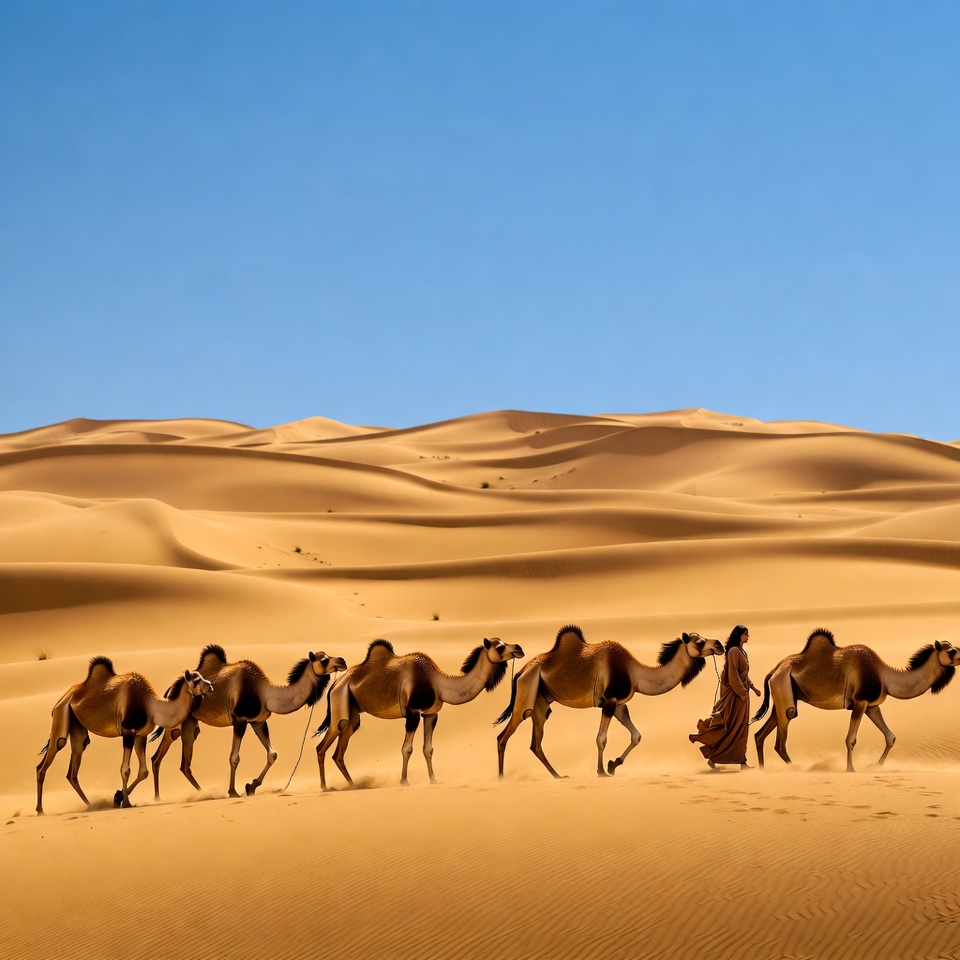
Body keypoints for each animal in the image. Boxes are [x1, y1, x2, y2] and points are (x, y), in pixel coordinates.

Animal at [36, 656, 214, 815]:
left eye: (202, 677)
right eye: (196, 680)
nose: (211, 686)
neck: (151, 706)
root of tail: (61, 699)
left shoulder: (140, 735)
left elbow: (143, 771)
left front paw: (118, 797)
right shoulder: (128, 731)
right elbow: (125, 769)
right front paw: (126, 802)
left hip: (77, 727)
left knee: (73, 768)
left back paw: (90, 804)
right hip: (61, 714)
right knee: (46, 760)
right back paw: (40, 810)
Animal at [150, 645, 347, 799]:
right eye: (324, 660)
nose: (342, 661)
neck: (266, 693)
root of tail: (170, 689)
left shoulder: (258, 721)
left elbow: (272, 754)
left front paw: (251, 786)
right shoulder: (240, 719)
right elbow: (234, 757)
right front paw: (233, 791)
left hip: (190, 722)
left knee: (184, 763)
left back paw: (202, 792)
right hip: (175, 724)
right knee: (157, 757)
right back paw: (159, 797)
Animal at [314, 636, 524, 789]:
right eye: (499, 647)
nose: (519, 648)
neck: (438, 682)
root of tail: (335, 683)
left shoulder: (431, 714)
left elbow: (428, 748)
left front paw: (434, 779)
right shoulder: (413, 712)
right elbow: (407, 749)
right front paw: (404, 781)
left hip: (352, 716)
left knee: (339, 752)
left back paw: (353, 784)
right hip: (340, 707)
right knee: (322, 747)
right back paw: (324, 787)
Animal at [495, 624, 723, 779]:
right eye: (699, 642)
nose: (720, 644)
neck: (635, 672)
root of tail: (521, 672)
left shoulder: (620, 704)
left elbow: (636, 735)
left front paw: (613, 764)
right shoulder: (609, 702)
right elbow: (601, 739)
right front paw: (601, 770)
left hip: (541, 703)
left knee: (536, 743)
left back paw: (558, 775)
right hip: (526, 696)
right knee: (503, 736)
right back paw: (501, 777)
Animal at [753, 628, 960, 771]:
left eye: (956, 647)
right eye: (951, 651)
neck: (885, 675)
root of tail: (775, 669)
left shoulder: (872, 706)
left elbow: (890, 737)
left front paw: (876, 765)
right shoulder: (859, 702)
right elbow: (850, 739)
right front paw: (850, 769)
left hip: (783, 696)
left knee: (760, 734)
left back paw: (762, 769)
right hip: (784, 690)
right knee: (781, 739)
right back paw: (795, 768)